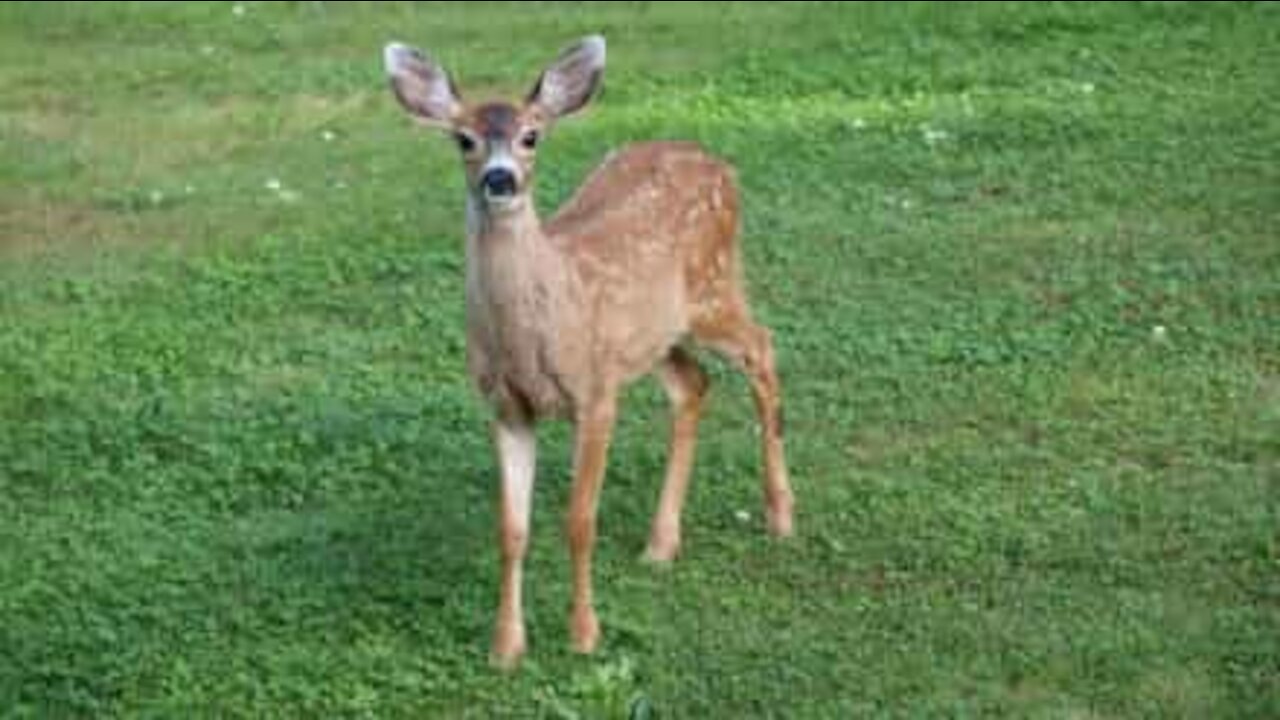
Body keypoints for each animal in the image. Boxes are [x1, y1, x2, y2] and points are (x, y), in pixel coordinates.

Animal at [384, 35, 793, 666]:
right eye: (464, 139)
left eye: (531, 136)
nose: (500, 179)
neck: (535, 334)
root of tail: (721, 166)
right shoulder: (507, 406)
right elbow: (512, 530)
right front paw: (506, 647)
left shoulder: (596, 394)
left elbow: (579, 520)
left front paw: (583, 635)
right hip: (652, 337)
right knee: (693, 383)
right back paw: (661, 543)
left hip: (714, 287)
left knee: (763, 349)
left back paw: (780, 515)